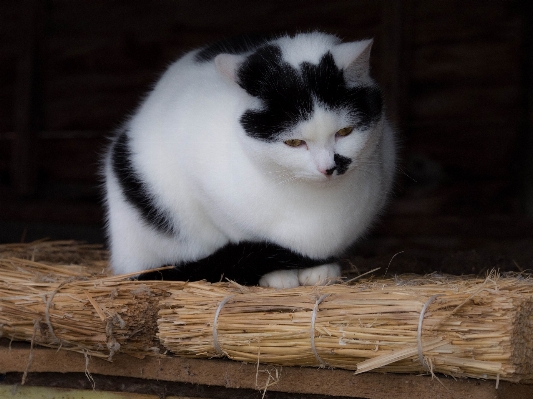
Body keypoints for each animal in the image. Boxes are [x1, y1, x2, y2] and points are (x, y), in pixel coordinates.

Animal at [103, 31, 394, 288]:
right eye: (294, 142)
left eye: (344, 132)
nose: (328, 168)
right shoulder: (206, 193)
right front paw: (278, 275)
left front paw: (321, 269)